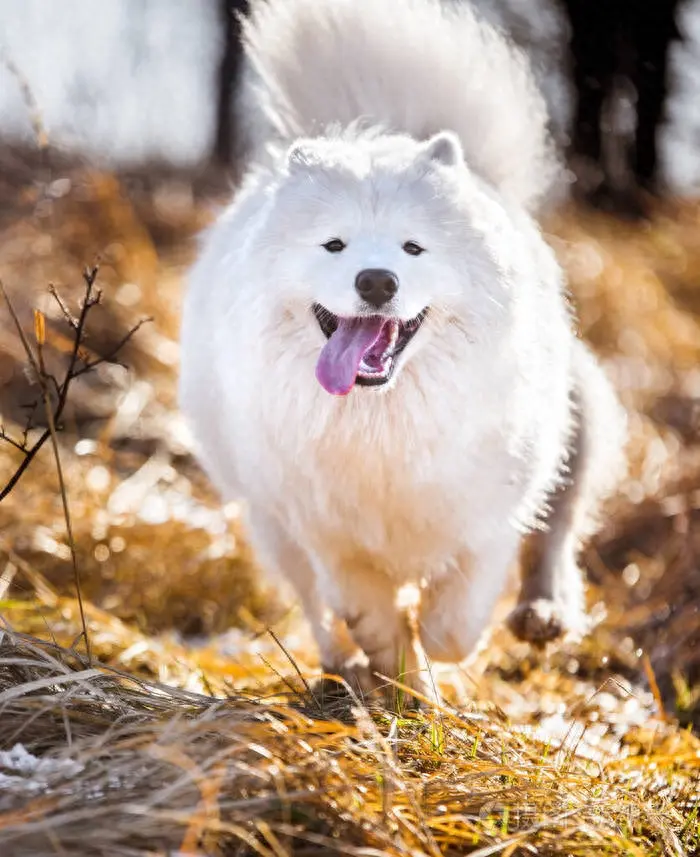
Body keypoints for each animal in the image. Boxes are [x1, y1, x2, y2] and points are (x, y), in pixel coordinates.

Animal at [178, 0, 628, 700]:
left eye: (413, 248)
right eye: (333, 244)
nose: (377, 281)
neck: (381, 418)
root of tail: (379, 128)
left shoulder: (485, 513)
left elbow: (458, 615)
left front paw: (433, 656)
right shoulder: (324, 528)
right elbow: (367, 606)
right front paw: (396, 671)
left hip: (574, 417)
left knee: (558, 526)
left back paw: (543, 612)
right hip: (269, 519)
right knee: (314, 605)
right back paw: (343, 668)